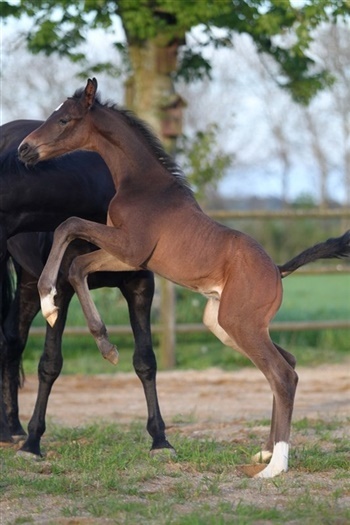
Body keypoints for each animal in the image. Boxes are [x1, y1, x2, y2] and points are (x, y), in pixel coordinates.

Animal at [18, 79, 350, 478]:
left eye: (65, 119)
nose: (24, 149)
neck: (141, 184)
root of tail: (277, 269)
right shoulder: (124, 255)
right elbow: (77, 264)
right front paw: (101, 342)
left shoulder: (130, 248)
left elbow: (68, 226)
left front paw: (50, 303)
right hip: (224, 324)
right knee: (288, 365)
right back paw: (266, 452)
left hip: (240, 324)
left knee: (283, 375)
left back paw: (276, 466)